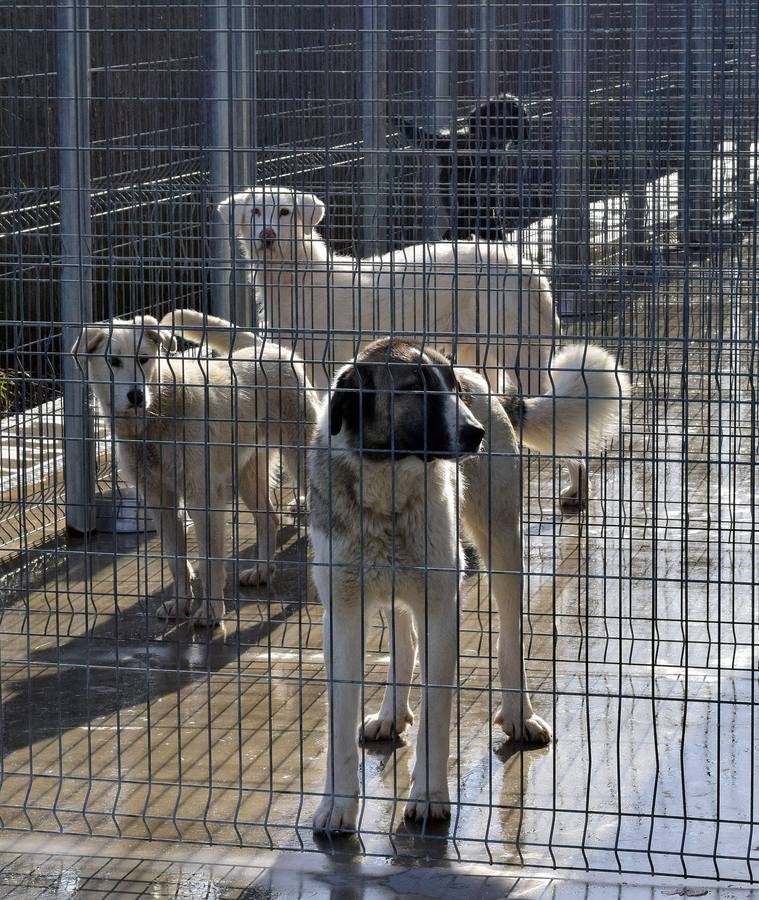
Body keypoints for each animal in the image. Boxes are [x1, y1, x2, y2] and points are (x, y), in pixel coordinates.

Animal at [74, 312, 318, 624]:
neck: (156, 417)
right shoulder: (160, 501)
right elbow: (175, 560)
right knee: (270, 519)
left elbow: (209, 561)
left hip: (300, 462)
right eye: (113, 362)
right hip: (248, 476)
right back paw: (262, 571)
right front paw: (180, 604)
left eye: (143, 360)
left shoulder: (203, 499)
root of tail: (275, 350)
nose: (136, 395)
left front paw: (211, 612)